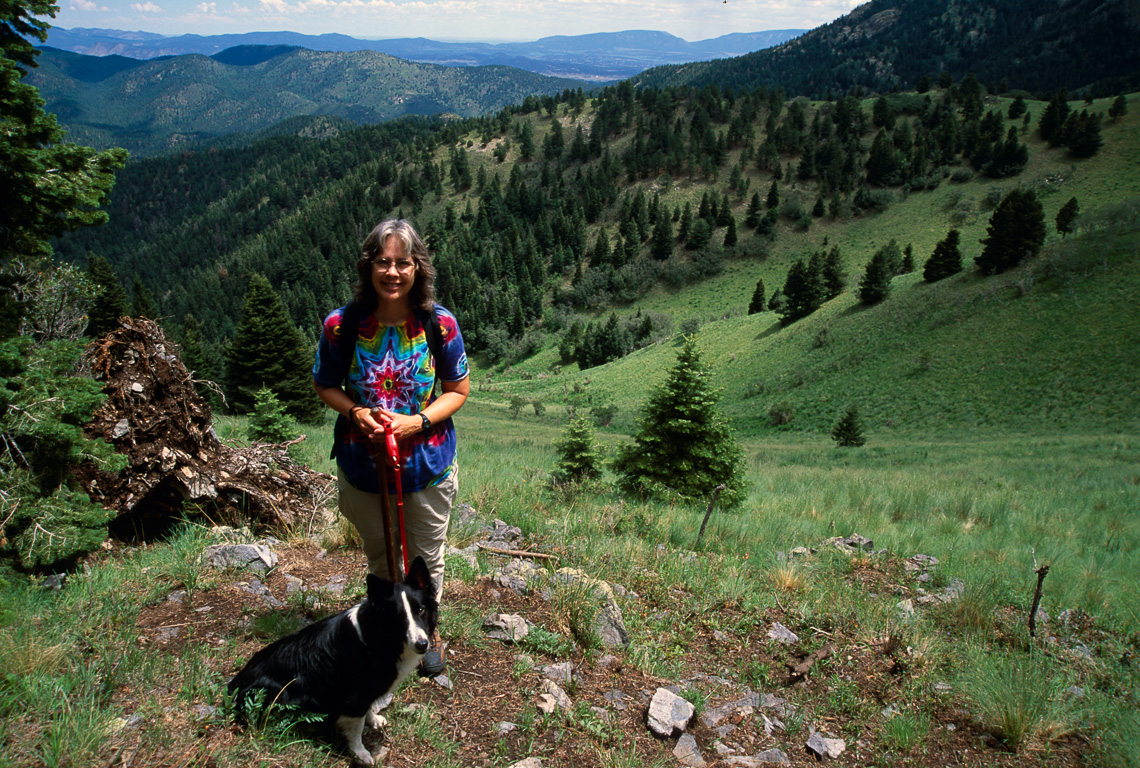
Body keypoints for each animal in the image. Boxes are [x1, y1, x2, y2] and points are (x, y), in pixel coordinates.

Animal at [226, 553, 435, 761]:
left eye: (421, 610)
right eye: (398, 618)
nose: (422, 644)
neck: (377, 636)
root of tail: (234, 685)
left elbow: (367, 709)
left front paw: (374, 720)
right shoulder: (355, 696)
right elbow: (356, 727)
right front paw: (360, 754)